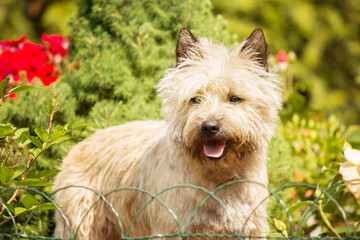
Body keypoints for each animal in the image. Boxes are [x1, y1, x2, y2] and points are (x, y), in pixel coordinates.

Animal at [53, 27, 282, 238]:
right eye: (195, 99)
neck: (220, 179)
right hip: (81, 222)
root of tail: (76, 147)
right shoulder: (171, 228)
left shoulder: (251, 228)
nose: (209, 127)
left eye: (234, 98)